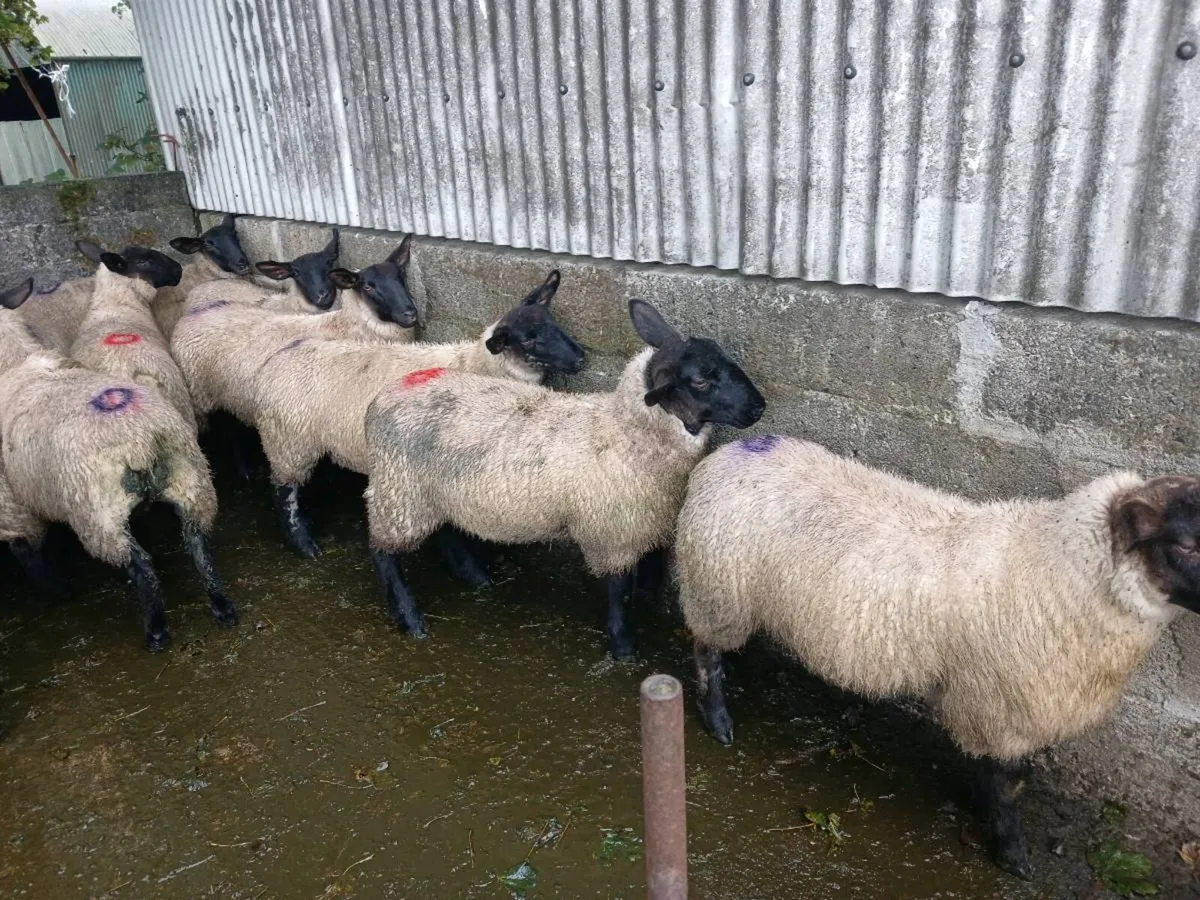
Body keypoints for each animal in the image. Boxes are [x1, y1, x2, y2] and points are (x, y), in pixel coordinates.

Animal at [0, 277, 238, 651]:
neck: (15, 364)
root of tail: (141, 440)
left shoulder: (13, 502)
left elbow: (27, 550)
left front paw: (58, 591)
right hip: (191, 481)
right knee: (199, 544)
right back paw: (221, 606)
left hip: (100, 515)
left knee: (140, 565)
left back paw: (155, 631)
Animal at [252, 270, 582, 560]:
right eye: (527, 340)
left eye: (554, 323)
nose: (581, 358)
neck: (477, 363)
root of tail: (280, 355)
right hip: (289, 442)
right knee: (284, 492)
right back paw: (303, 543)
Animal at [363, 298, 765, 656]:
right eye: (700, 381)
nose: (758, 407)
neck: (626, 431)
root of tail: (383, 398)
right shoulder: (613, 533)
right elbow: (619, 591)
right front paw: (623, 646)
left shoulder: (651, 520)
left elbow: (650, 574)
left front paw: (647, 608)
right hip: (399, 492)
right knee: (382, 552)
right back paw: (410, 617)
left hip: (429, 492)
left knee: (445, 532)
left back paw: (475, 577)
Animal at [672, 435, 1200, 879]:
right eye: (1185, 544)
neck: (1055, 567)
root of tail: (735, 450)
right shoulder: (1000, 708)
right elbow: (1008, 785)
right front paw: (1012, 854)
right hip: (718, 592)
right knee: (705, 653)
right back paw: (718, 721)